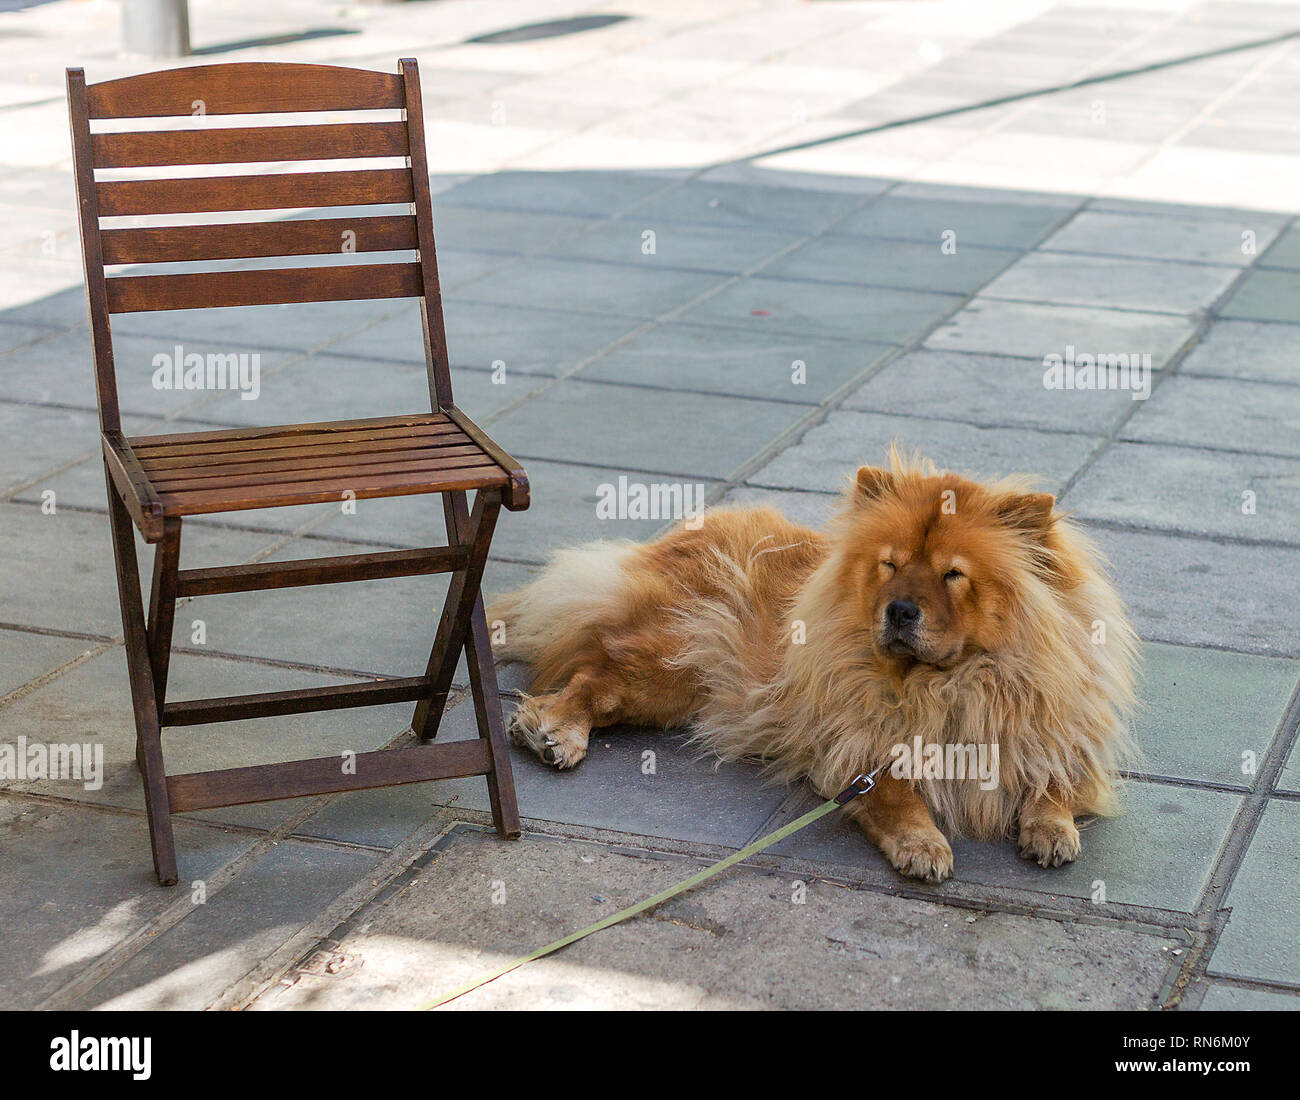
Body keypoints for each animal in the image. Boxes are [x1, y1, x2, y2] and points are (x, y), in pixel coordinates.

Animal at [488, 452, 1138, 884]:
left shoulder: (1052, 729)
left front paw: (1052, 830)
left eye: (953, 574)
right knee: (590, 681)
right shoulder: (855, 745)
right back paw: (554, 733)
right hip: (671, 659)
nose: (900, 609)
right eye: (890, 565)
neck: (950, 684)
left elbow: (1052, 778)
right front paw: (924, 845)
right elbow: (897, 794)